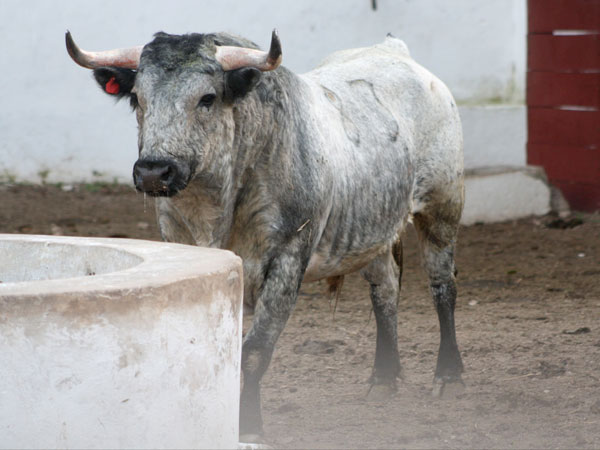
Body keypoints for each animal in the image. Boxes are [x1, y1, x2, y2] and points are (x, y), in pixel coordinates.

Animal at [68, 29, 466, 442]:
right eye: (137, 98)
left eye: (207, 98)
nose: (153, 171)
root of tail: (393, 50)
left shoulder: (287, 260)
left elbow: (255, 351)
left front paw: (250, 427)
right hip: (370, 230)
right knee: (384, 289)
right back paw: (384, 379)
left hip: (443, 205)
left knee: (442, 286)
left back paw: (449, 375)